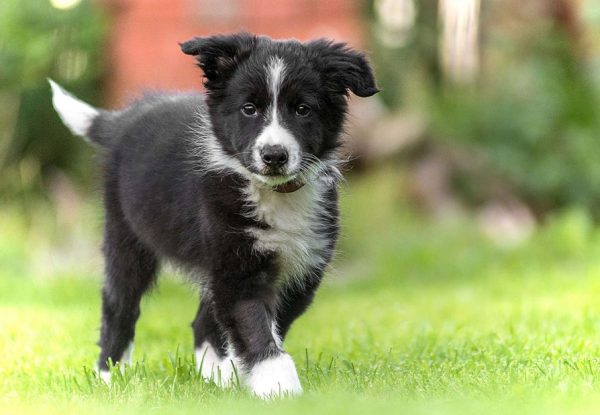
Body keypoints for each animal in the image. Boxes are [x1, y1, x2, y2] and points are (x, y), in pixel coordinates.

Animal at [52, 33, 380, 400]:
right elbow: (254, 324)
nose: (274, 155)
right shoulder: (237, 268)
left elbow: (264, 324)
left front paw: (242, 377)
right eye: (249, 109)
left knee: (202, 322)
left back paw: (214, 377)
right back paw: (109, 375)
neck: (274, 193)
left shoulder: (302, 268)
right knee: (119, 306)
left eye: (302, 109)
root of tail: (125, 119)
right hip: (126, 235)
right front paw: (279, 387)